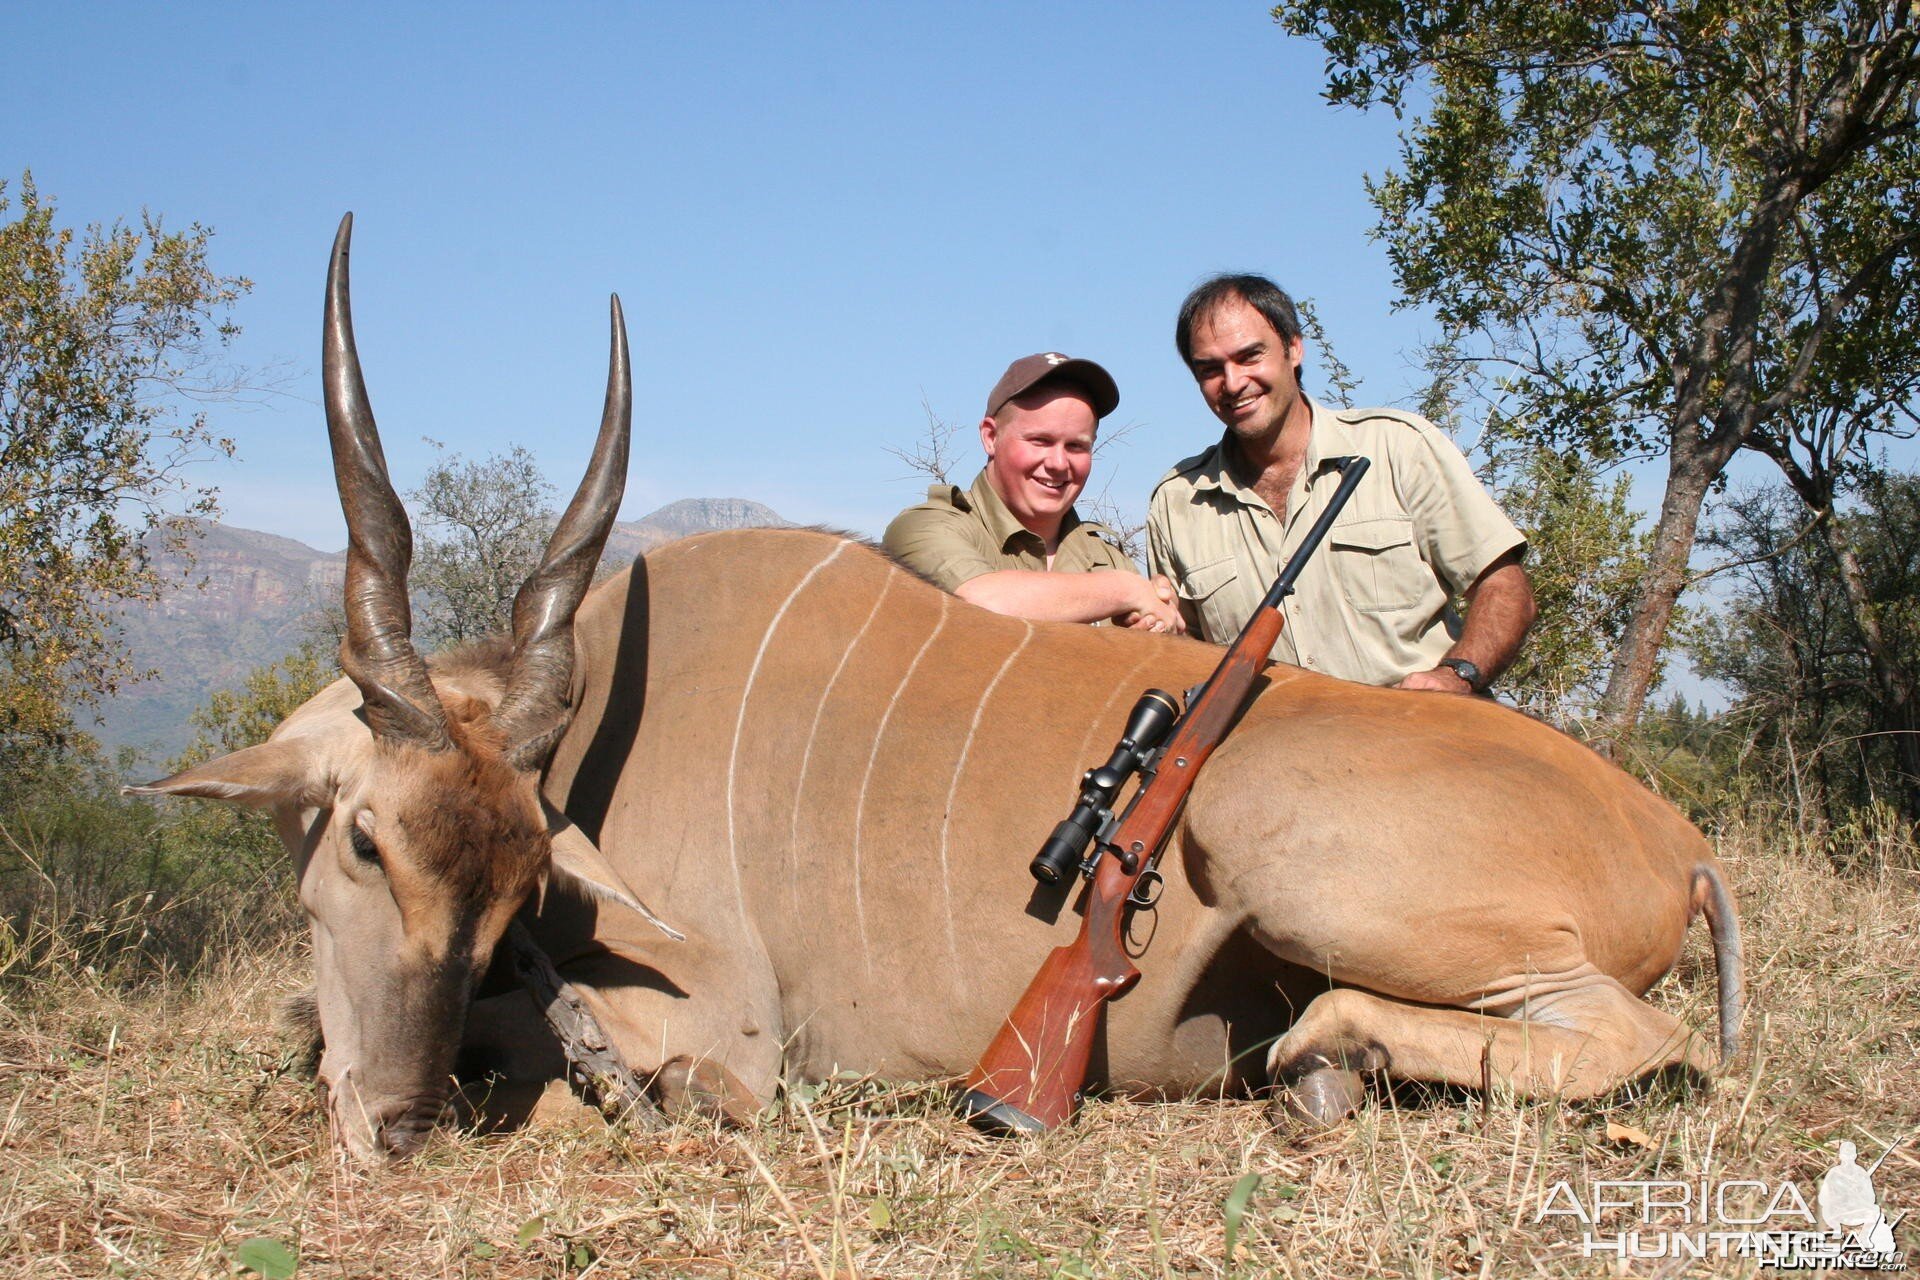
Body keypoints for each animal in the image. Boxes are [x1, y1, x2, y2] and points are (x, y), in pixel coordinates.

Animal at [135, 217, 1743, 1159]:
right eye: (364, 841)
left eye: (520, 876)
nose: (396, 1123)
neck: (609, 728)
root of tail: (1681, 843)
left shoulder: (723, 1033)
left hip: (1280, 848)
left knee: (1638, 1040)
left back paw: (1324, 1050)